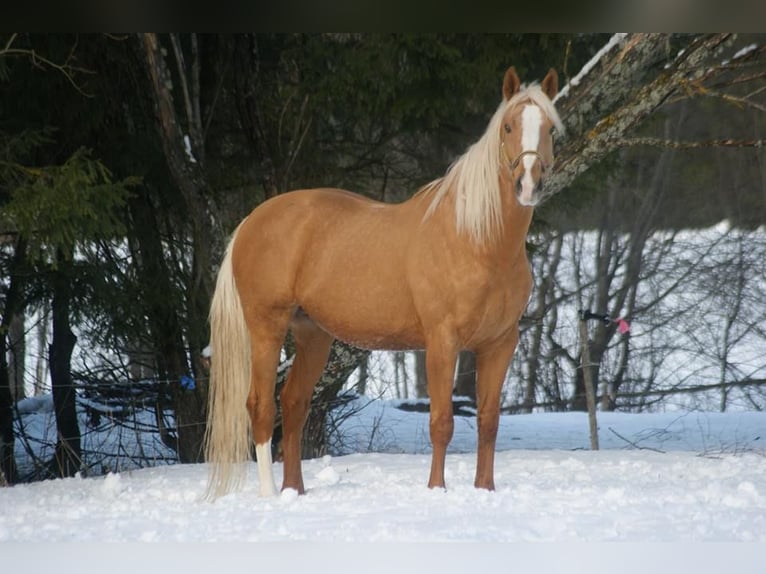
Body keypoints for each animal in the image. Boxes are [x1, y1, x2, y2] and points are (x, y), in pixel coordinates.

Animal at [204, 66, 564, 500]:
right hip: (266, 327)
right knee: (260, 406)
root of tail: (250, 222)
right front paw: (436, 490)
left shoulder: (499, 344)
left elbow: (488, 421)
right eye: (508, 126)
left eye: (550, 130)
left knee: (293, 404)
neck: (478, 240)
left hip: (313, 335)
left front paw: (485, 490)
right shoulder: (442, 342)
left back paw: (295, 491)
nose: (528, 185)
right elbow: (441, 422)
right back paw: (272, 495)